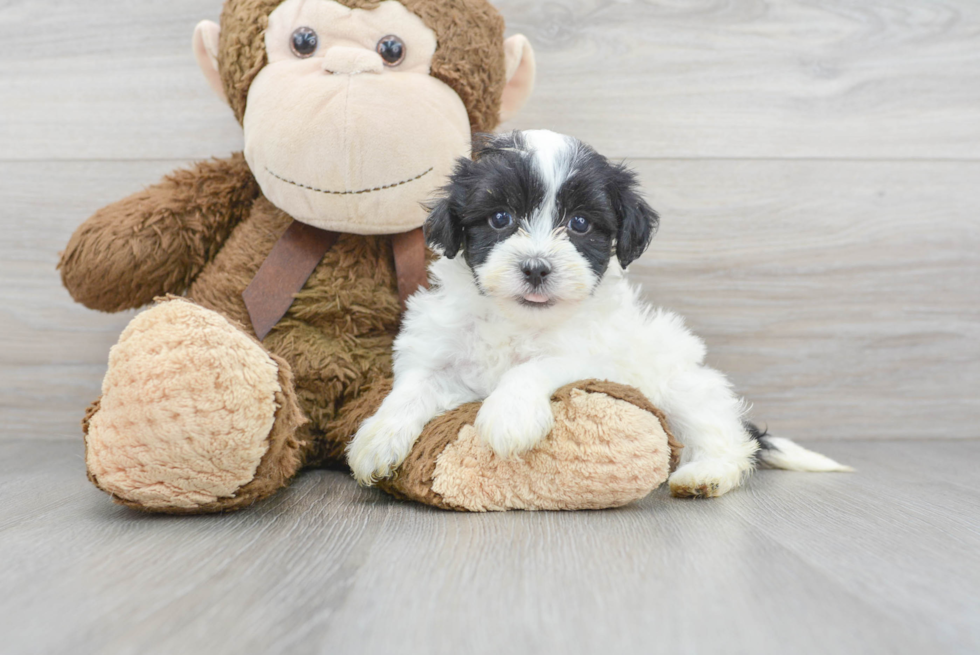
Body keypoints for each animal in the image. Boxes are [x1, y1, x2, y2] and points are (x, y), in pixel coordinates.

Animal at [346, 129, 848, 498]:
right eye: (500, 218)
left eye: (581, 224)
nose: (536, 268)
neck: (521, 320)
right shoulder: (443, 355)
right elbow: (414, 388)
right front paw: (376, 439)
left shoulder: (599, 358)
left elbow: (534, 368)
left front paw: (509, 416)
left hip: (684, 385)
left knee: (727, 438)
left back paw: (705, 475)